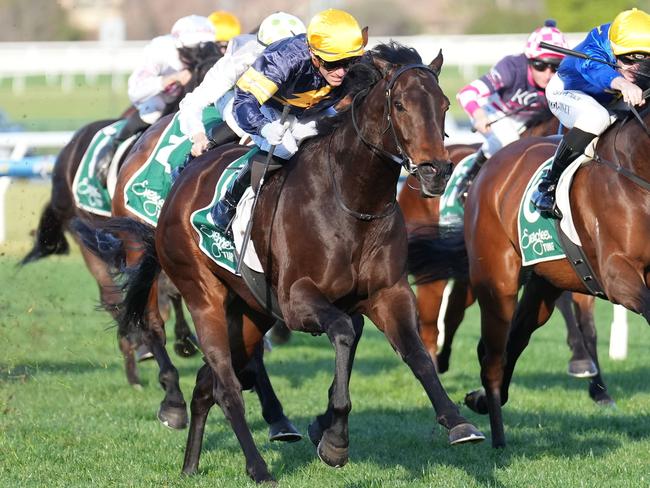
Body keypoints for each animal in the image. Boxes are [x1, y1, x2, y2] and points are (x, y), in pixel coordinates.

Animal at [20, 42, 223, 388]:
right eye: (202, 73)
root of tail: (66, 151)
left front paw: (184, 339)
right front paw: (168, 341)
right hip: (89, 237)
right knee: (112, 296)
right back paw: (136, 350)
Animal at [107, 43, 480, 484]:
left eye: (444, 104)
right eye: (401, 105)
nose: (436, 172)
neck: (353, 201)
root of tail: (181, 182)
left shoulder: (386, 293)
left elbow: (417, 354)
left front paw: (457, 420)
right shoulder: (297, 301)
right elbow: (342, 335)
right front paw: (335, 438)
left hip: (250, 312)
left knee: (208, 383)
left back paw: (191, 464)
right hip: (204, 295)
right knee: (226, 386)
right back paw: (257, 467)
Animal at [456, 67, 648, 446]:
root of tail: (493, 165)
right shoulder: (618, 276)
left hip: (544, 281)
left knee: (515, 339)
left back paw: (482, 400)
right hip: (496, 280)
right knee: (493, 353)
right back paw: (497, 437)